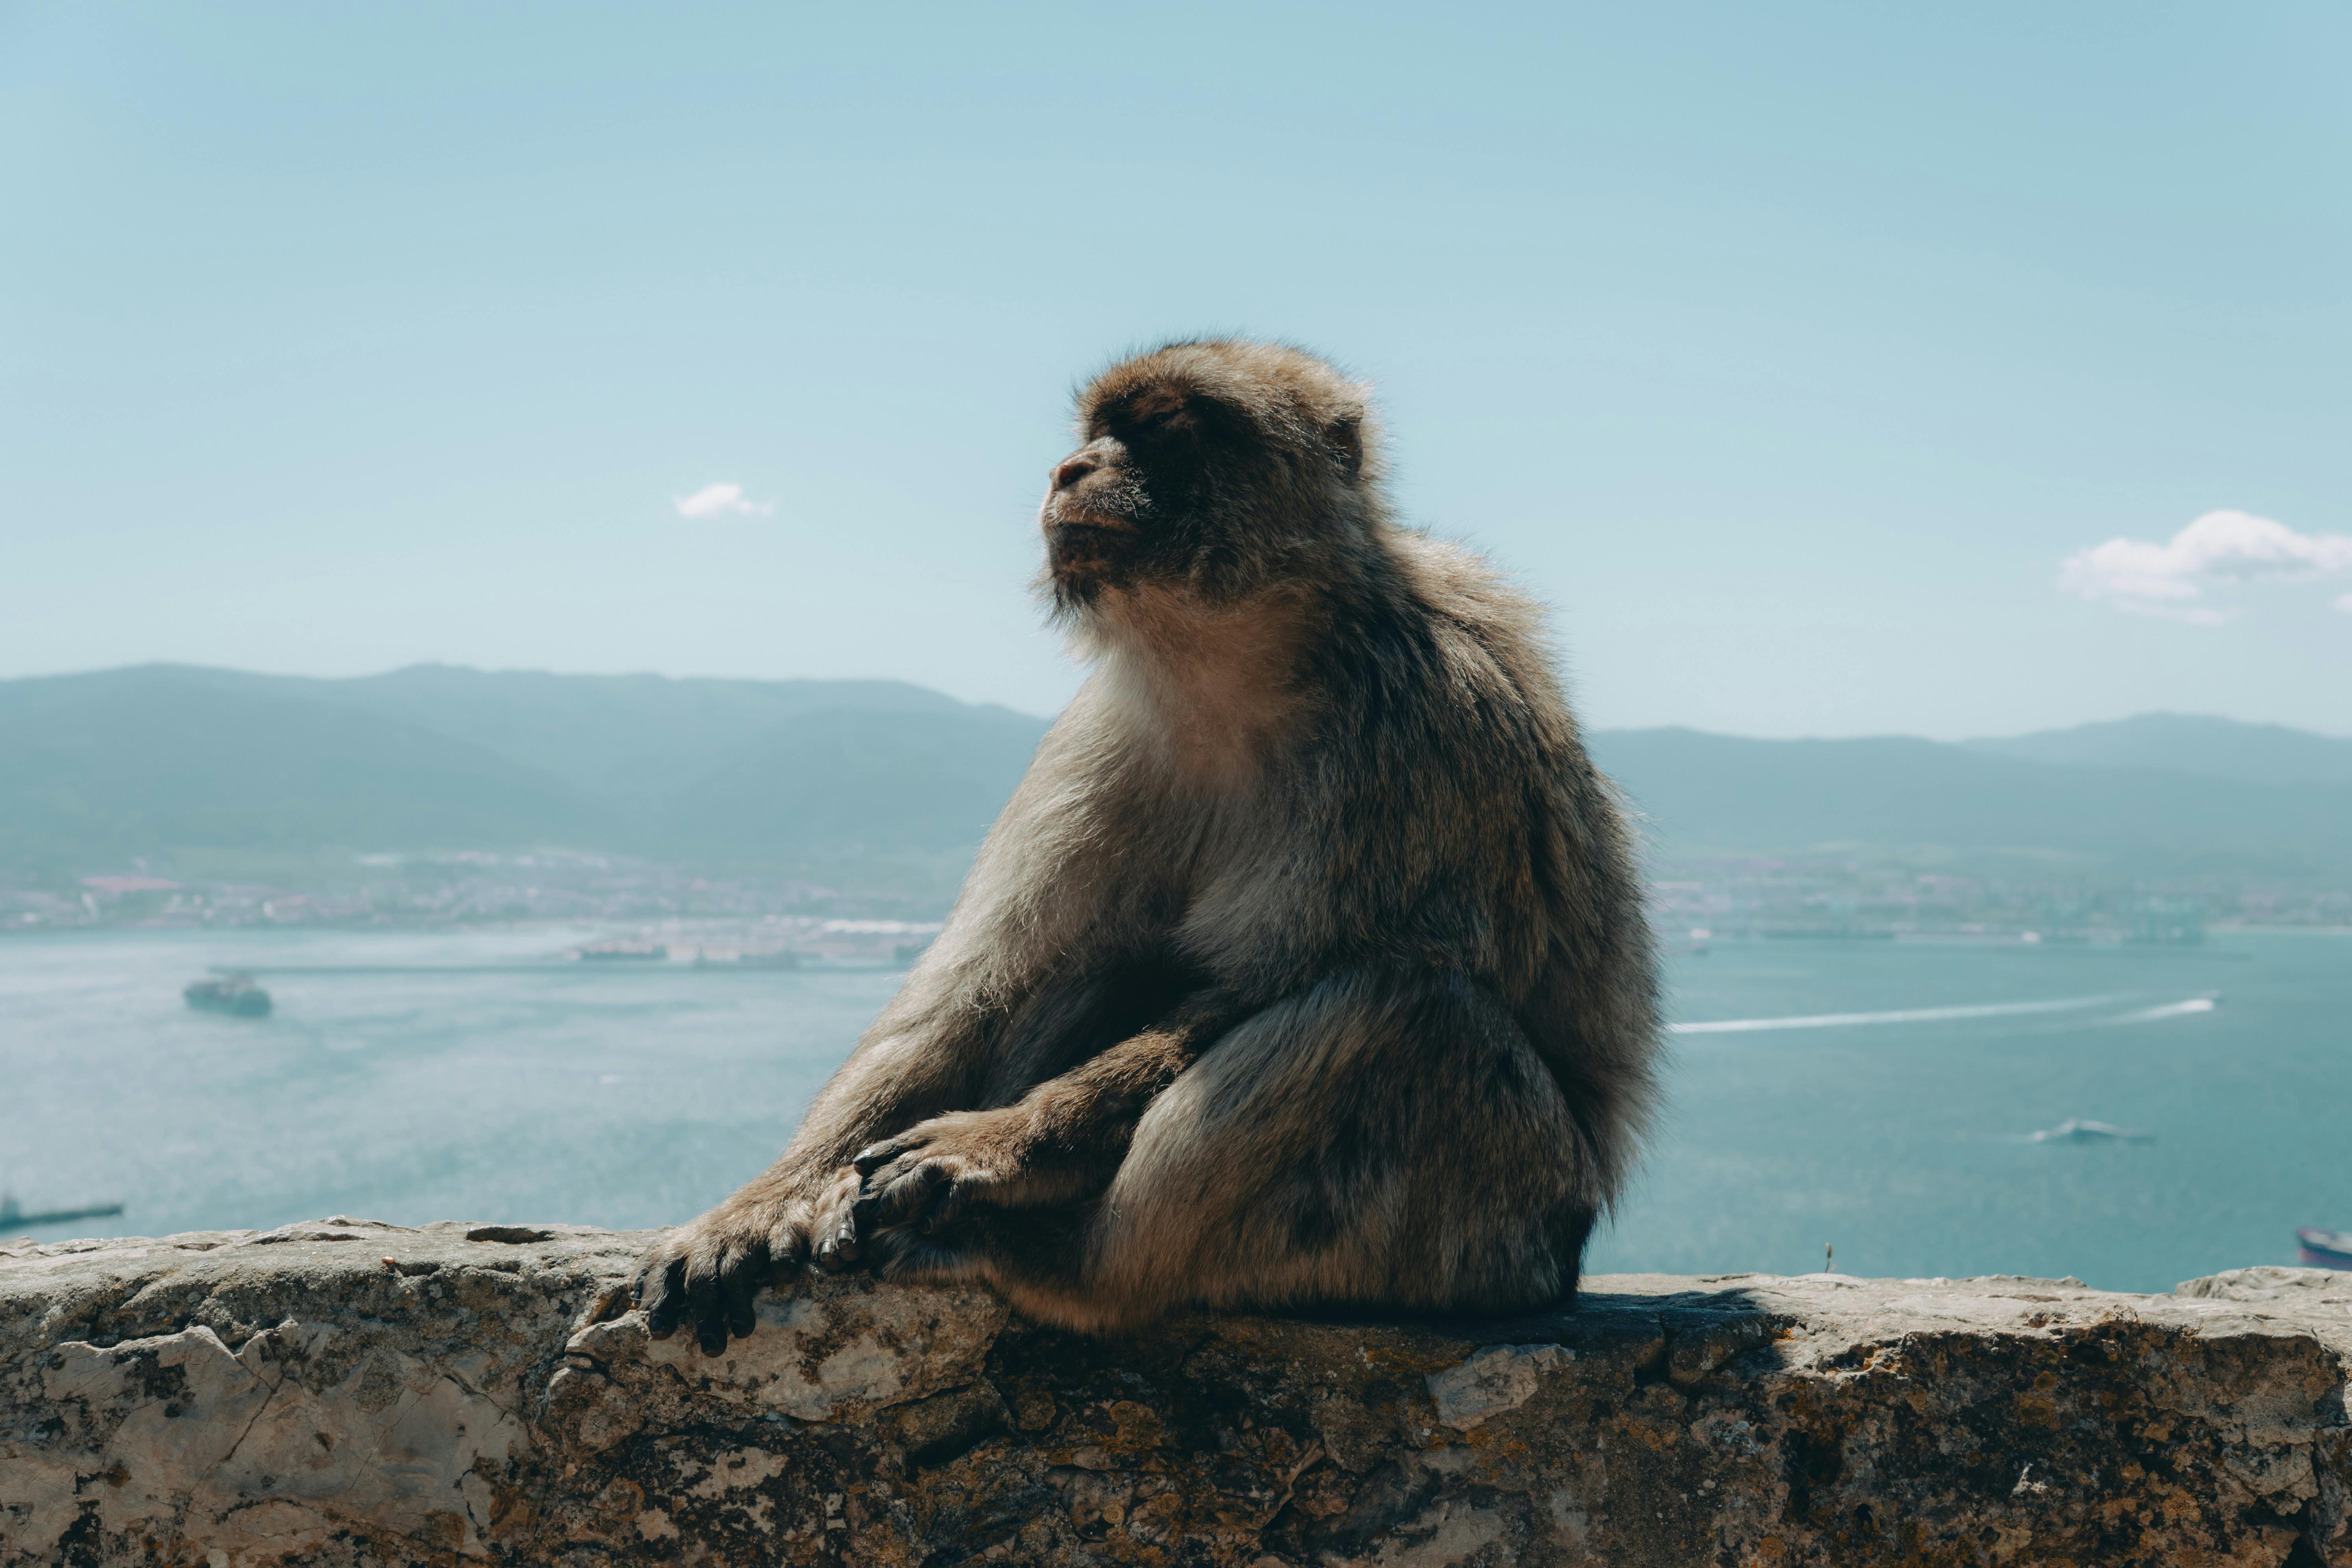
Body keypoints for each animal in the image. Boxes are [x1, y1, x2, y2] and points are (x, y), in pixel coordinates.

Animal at [631, 338, 1661, 1350]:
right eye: (1094, 431)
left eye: (1160, 425)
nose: (1070, 470)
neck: (1245, 667)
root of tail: (1561, 1258)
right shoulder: (1100, 742)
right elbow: (976, 991)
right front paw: (760, 1203)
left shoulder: (1425, 731)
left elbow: (1257, 984)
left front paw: (992, 1143)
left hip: (1489, 1232)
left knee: (1408, 1013)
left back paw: (1072, 1265)